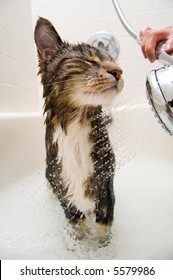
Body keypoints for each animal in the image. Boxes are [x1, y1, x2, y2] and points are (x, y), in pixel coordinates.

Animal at [34, 17, 123, 231]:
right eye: (88, 60)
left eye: (113, 61)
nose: (118, 71)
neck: (77, 123)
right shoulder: (65, 195)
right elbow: (78, 228)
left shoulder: (106, 187)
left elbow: (103, 230)